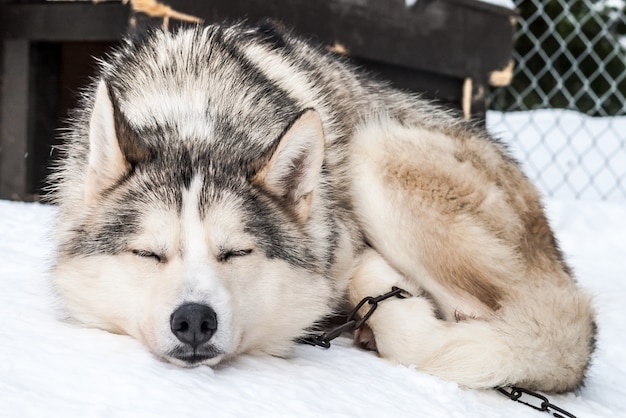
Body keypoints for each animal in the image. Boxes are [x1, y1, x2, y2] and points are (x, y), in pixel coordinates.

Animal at [51, 21, 592, 392]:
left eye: (236, 253)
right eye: (148, 254)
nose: (194, 321)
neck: (197, 117)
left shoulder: (347, 243)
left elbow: (405, 322)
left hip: (375, 151)